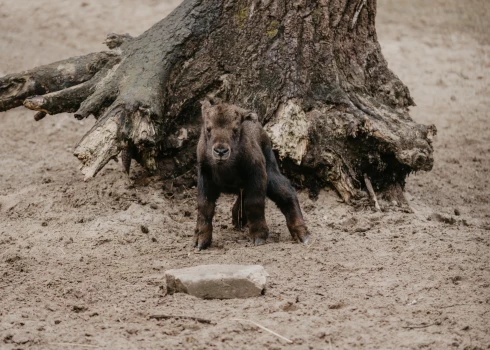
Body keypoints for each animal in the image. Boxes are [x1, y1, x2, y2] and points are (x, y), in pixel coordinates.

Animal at [193, 100, 308, 250]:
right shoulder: (205, 177)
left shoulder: (257, 174)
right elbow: (204, 206)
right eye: (208, 128)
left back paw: (302, 234)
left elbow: (254, 203)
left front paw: (259, 236)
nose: (220, 151)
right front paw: (200, 240)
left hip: (271, 175)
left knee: (286, 192)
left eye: (235, 129)